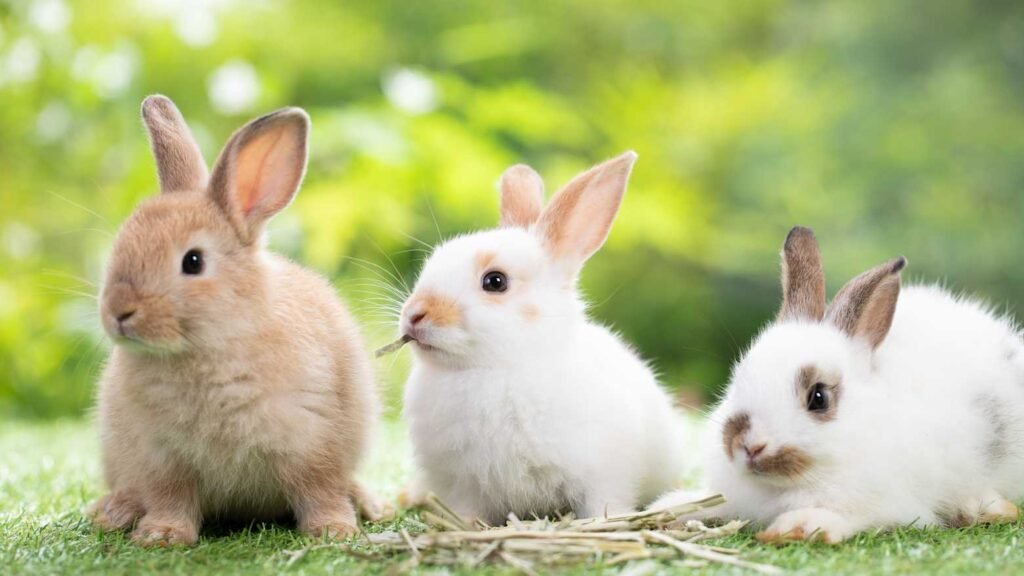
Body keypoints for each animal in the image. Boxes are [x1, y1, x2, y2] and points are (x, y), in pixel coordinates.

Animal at [87, 95, 382, 546]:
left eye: (193, 261)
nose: (118, 311)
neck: (214, 343)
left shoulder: (314, 442)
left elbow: (319, 490)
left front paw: (333, 531)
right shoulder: (162, 457)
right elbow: (171, 498)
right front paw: (161, 536)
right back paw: (111, 512)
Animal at [397, 152, 687, 525]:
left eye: (495, 281)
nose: (414, 315)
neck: (496, 369)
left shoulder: (603, 474)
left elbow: (602, 503)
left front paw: (603, 521)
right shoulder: (461, 483)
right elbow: (466, 511)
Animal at [651, 226, 1024, 543]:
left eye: (818, 398)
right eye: (738, 379)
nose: (749, 447)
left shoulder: (886, 504)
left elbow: (846, 516)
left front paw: (797, 527)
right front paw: (670, 508)